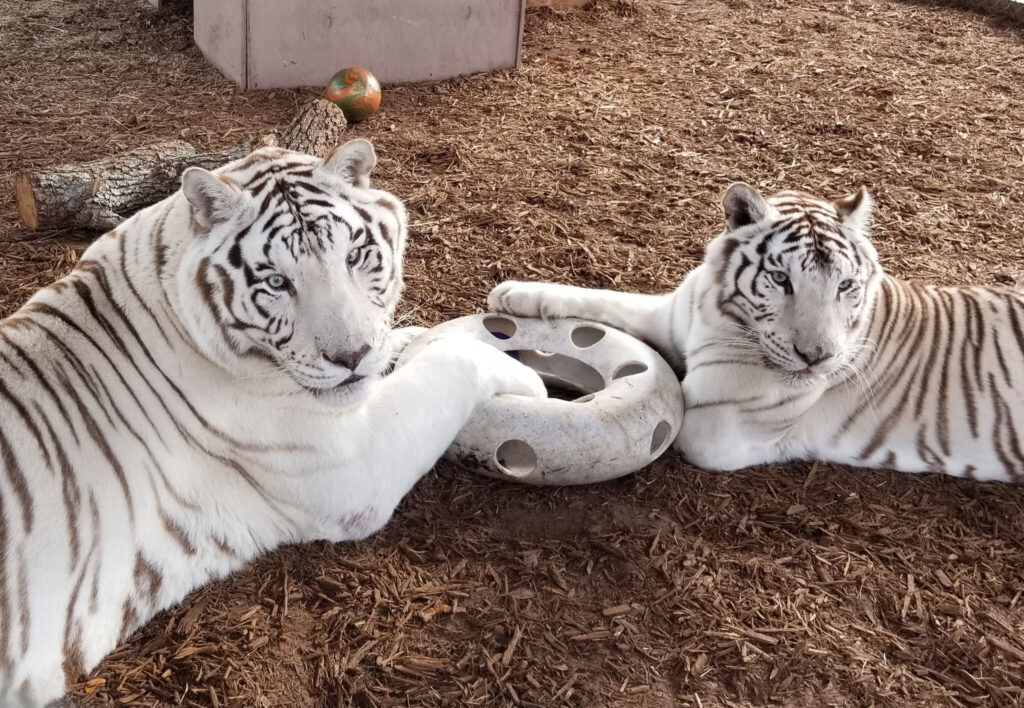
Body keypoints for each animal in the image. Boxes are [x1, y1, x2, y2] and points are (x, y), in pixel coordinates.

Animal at [0, 139, 544, 706]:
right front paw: (527, 378)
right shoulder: (354, 464)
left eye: (353, 257)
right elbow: (454, 364)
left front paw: (416, 337)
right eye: (277, 282)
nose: (351, 357)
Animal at [490, 183, 1024, 483]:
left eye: (845, 286)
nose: (817, 358)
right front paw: (514, 294)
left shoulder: (716, 425)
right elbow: (602, 298)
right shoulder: (670, 316)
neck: (719, 313)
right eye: (782, 280)